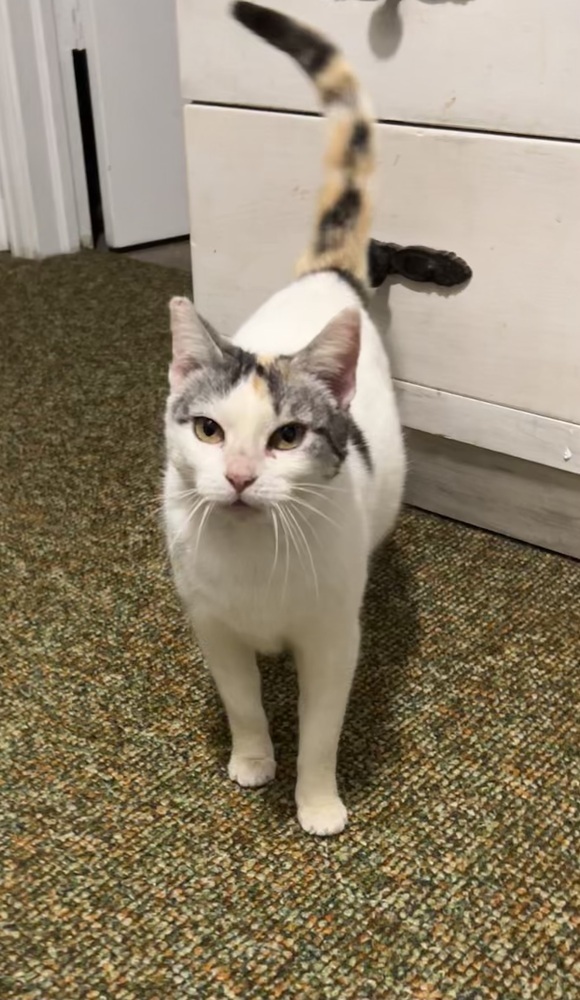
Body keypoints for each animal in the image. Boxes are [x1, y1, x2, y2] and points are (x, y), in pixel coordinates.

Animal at [163, 1, 406, 836]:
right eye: (207, 430)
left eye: (287, 437)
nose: (238, 478)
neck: (253, 559)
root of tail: (324, 275)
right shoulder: (212, 625)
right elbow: (242, 703)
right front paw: (252, 759)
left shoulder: (333, 640)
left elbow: (323, 729)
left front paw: (318, 800)